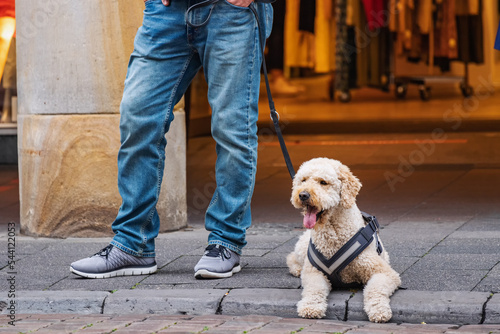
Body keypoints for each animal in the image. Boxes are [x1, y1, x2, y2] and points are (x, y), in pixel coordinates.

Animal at [288, 158, 400, 322]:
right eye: (303, 180)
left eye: (323, 182)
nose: (302, 195)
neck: (334, 233)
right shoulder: (314, 272)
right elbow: (313, 288)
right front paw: (311, 306)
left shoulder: (383, 272)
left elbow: (374, 289)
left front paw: (378, 309)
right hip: (303, 248)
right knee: (291, 258)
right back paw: (297, 269)